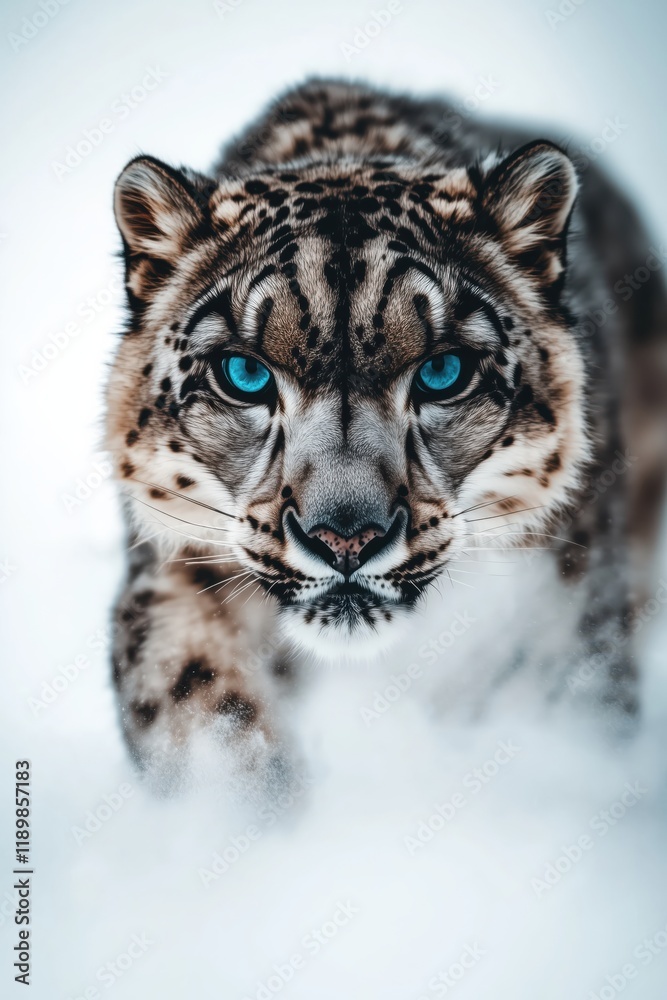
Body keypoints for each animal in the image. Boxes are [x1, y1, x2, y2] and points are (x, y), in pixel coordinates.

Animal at [105, 78, 667, 791]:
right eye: (244, 373)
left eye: (443, 371)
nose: (345, 538)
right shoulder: (178, 568)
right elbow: (201, 708)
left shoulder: (570, 623)